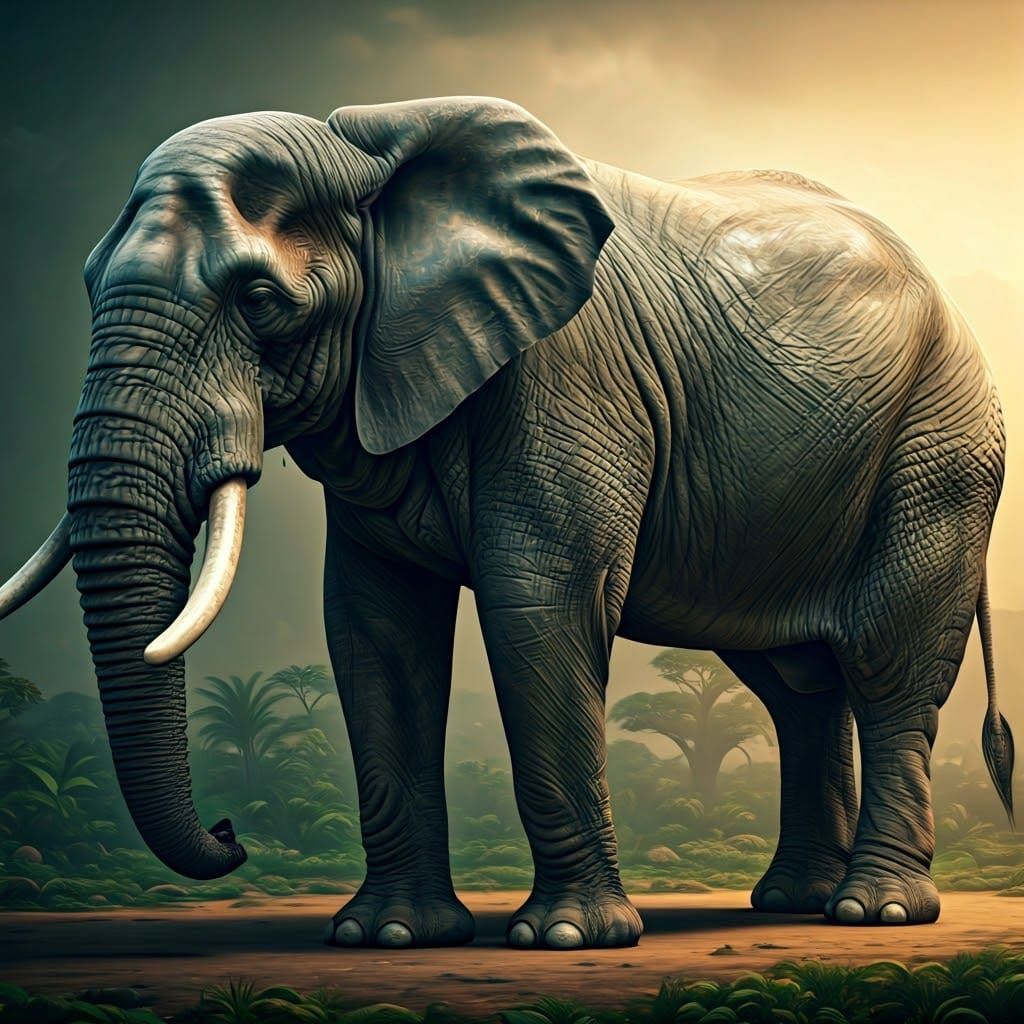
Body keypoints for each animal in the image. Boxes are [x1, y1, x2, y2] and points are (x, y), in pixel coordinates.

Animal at [0, 96, 1012, 950]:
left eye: (256, 301)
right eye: (87, 287)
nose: (229, 831)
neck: (369, 161)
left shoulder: (564, 376)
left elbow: (539, 605)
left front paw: (567, 939)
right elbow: (375, 633)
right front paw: (387, 937)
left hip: (942, 446)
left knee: (885, 662)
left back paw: (874, 912)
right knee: (796, 683)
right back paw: (794, 903)